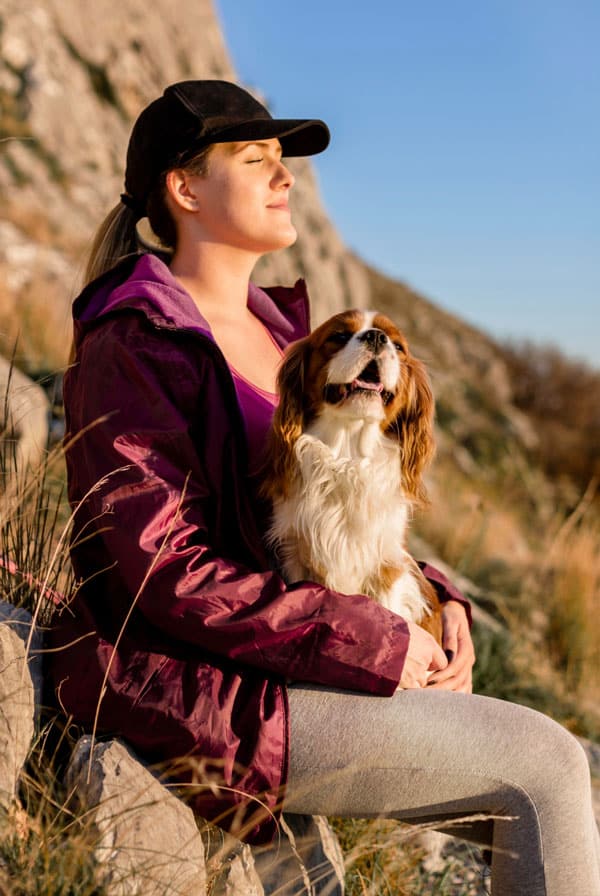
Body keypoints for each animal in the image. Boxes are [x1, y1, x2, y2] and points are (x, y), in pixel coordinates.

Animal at [260, 310, 442, 644]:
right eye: (340, 336)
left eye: (398, 346)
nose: (376, 337)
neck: (348, 455)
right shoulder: (296, 558)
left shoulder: (387, 569)